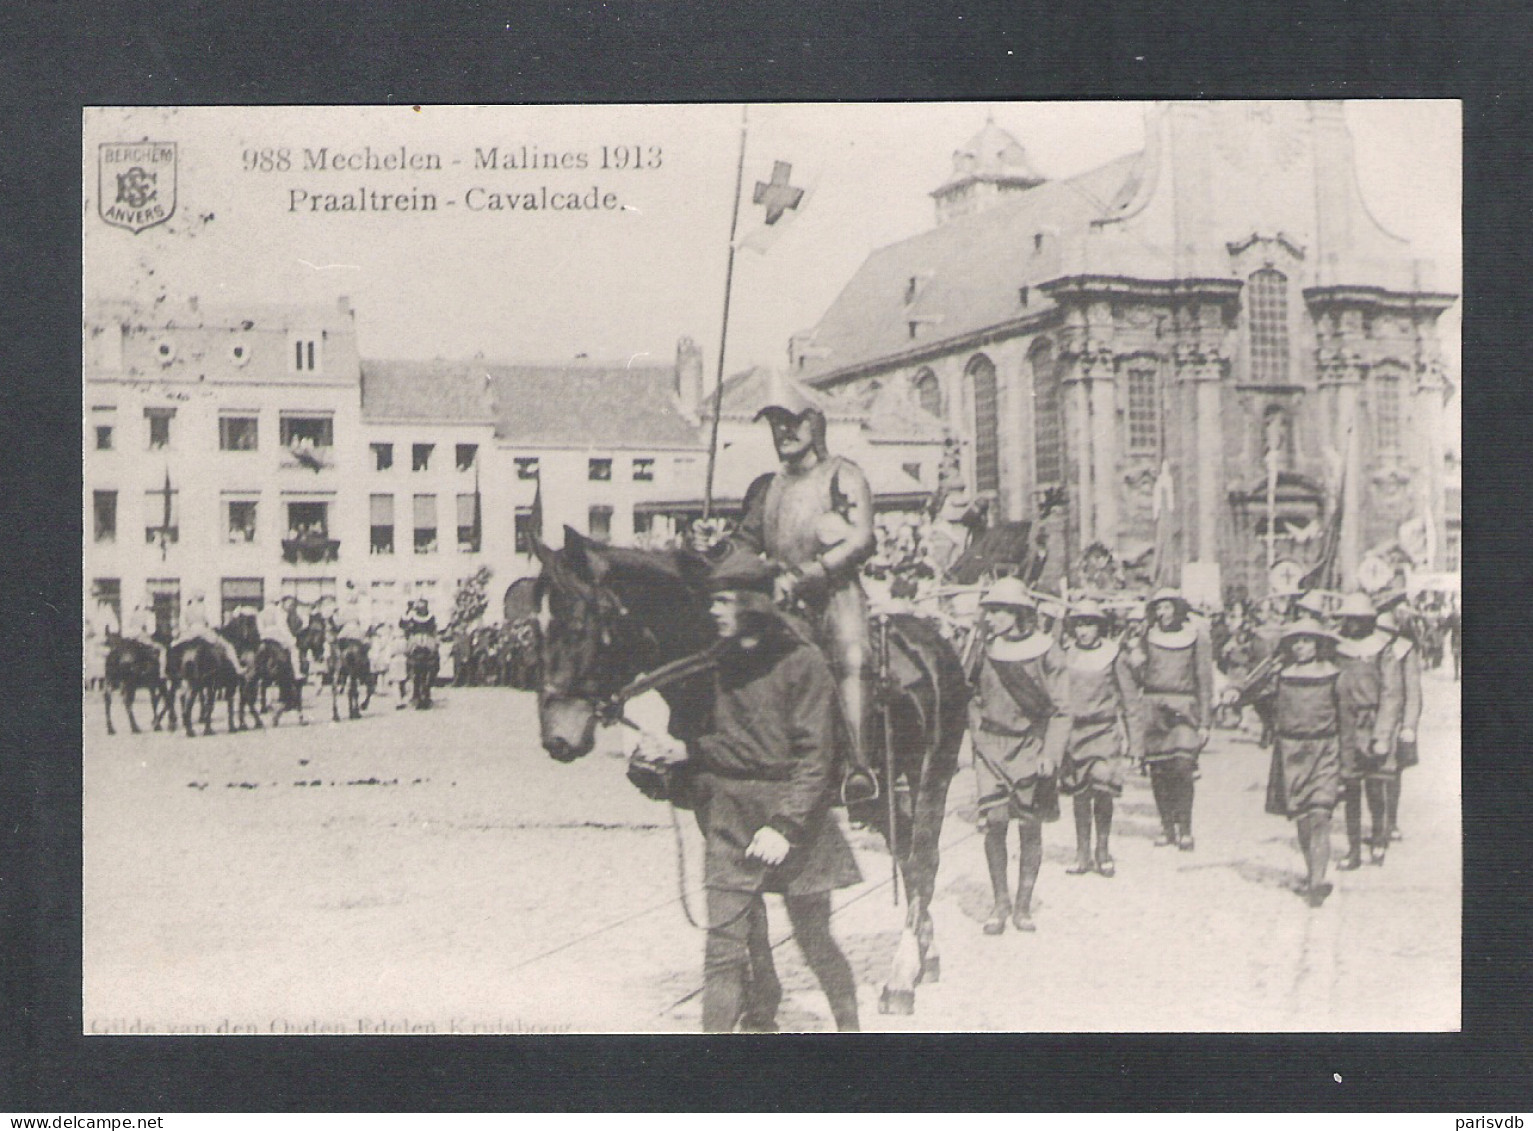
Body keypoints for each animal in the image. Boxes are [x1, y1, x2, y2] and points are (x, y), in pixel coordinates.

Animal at [536, 527, 968, 1011]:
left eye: (577, 626)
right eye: (537, 626)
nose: (558, 737)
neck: (727, 660)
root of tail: (935, 641)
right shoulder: (712, 809)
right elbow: (747, 899)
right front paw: (761, 1000)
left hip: (932, 773)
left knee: (923, 861)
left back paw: (900, 978)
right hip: (884, 798)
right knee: (908, 857)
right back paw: (926, 956)